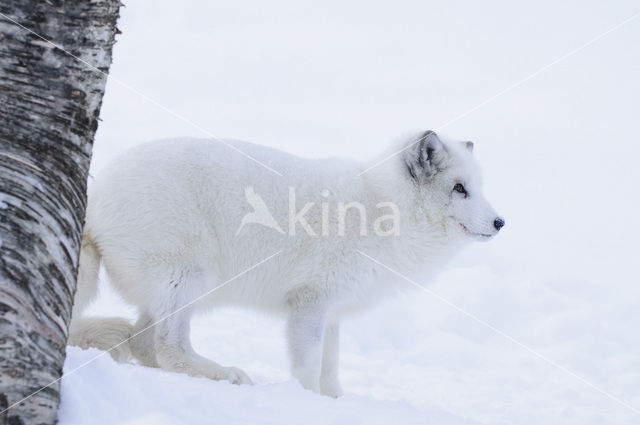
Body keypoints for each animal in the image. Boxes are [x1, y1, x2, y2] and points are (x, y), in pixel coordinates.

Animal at [69, 131, 500, 396]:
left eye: (478, 188)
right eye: (458, 189)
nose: (500, 223)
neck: (380, 207)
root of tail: (96, 194)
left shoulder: (333, 311)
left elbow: (330, 367)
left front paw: (335, 401)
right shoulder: (309, 302)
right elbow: (307, 367)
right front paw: (306, 400)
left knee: (141, 341)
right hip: (189, 278)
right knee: (165, 345)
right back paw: (227, 375)